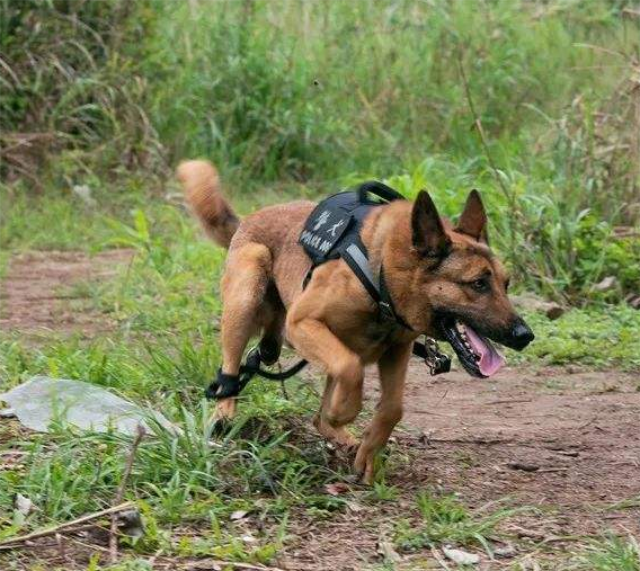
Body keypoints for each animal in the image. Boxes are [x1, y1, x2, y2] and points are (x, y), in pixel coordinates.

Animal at [178, 160, 532, 482]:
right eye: (478, 284)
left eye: (506, 284)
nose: (525, 335)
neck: (383, 274)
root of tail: (247, 219)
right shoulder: (303, 323)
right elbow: (348, 371)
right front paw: (343, 414)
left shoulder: (397, 351)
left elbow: (392, 408)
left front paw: (367, 452)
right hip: (247, 294)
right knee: (230, 371)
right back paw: (225, 411)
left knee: (310, 398)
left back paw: (344, 438)